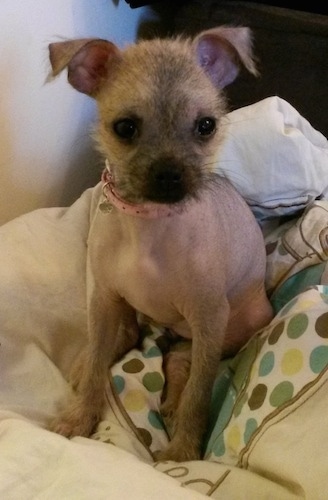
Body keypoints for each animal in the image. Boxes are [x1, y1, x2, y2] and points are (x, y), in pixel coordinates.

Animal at [48, 25, 272, 458]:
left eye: (206, 126)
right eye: (124, 128)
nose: (170, 176)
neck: (149, 225)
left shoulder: (209, 318)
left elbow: (200, 393)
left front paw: (183, 450)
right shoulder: (104, 298)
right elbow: (99, 359)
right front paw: (81, 416)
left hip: (227, 329)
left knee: (184, 362)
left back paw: (173, 402)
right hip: (123, 307)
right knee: (128, 337)